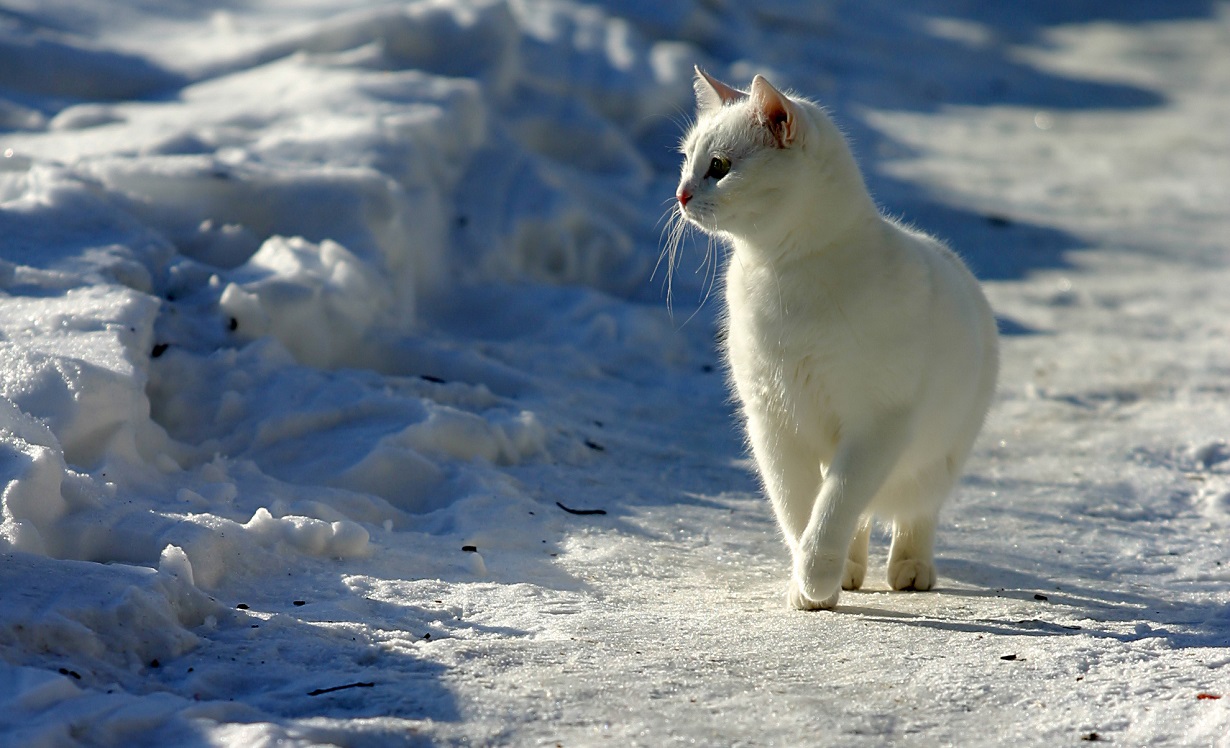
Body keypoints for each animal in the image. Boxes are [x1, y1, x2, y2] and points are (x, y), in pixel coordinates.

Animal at [674, 68, 998, 607]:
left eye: (718, 166)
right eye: (685, 160)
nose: (679, 194)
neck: (782, 274)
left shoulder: (875, 424)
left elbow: (833, 510)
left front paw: (816, 574)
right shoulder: (773, 424)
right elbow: (801, 510)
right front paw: (814, 587)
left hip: (937, 456)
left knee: (915, 512)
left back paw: (911, 568)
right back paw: (851, 570)